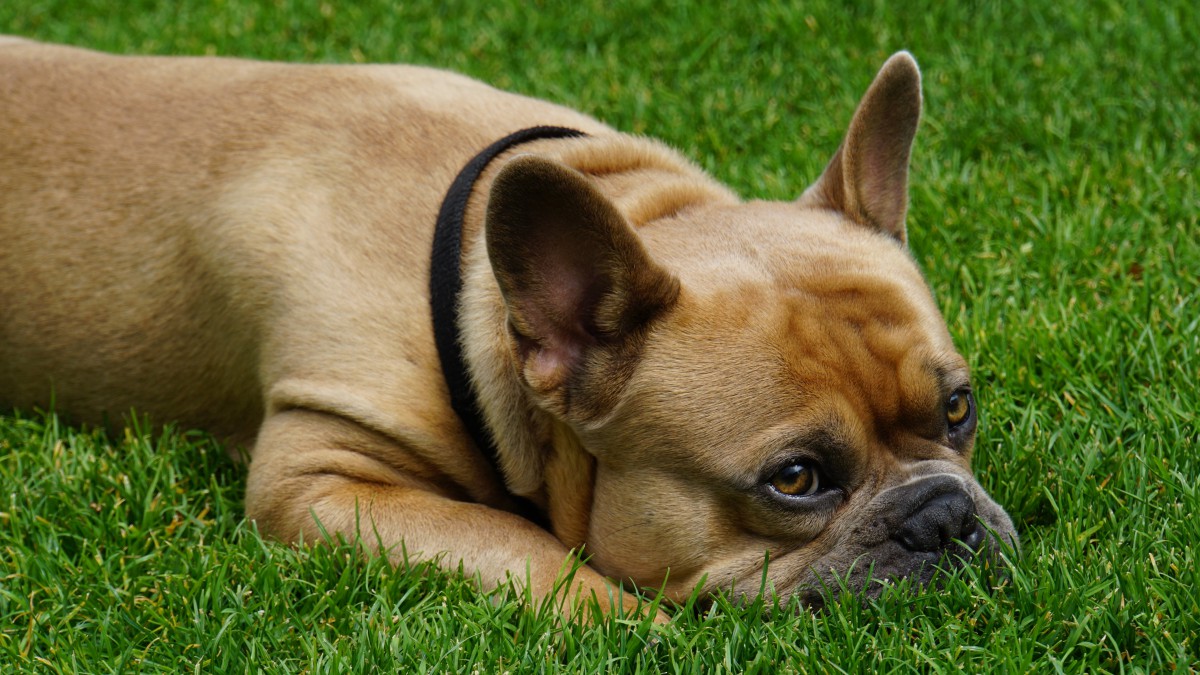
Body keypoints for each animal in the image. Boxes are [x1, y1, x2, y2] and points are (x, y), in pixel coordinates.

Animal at [0, 36, 1017, 614]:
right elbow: (529, 553)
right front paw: (637, 628)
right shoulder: (319, 477)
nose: (944, 516)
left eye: (958, 409)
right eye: (796, 478)